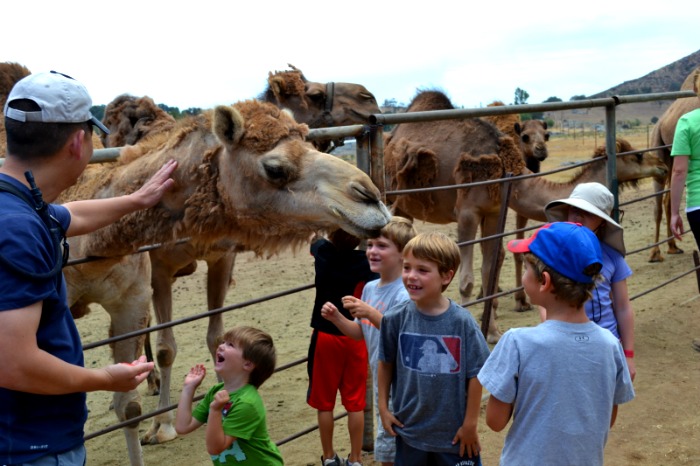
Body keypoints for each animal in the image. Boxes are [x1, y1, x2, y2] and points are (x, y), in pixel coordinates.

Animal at [58, 101, 394, 466]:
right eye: (274, 168)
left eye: (310, 143)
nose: (370, 196)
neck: (90, 251)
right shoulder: (157, 269)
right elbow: (164, 350)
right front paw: (163, 426)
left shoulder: (184, 274)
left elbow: (143, 394)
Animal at [386, 89, 668, 342]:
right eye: (638, 155)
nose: (662, 166)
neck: (504, 169)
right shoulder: (467, 212)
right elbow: (465, 280)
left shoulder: (493, 212)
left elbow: (489, 272)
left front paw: (492, 332)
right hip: (391, 198)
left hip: (405, 207)